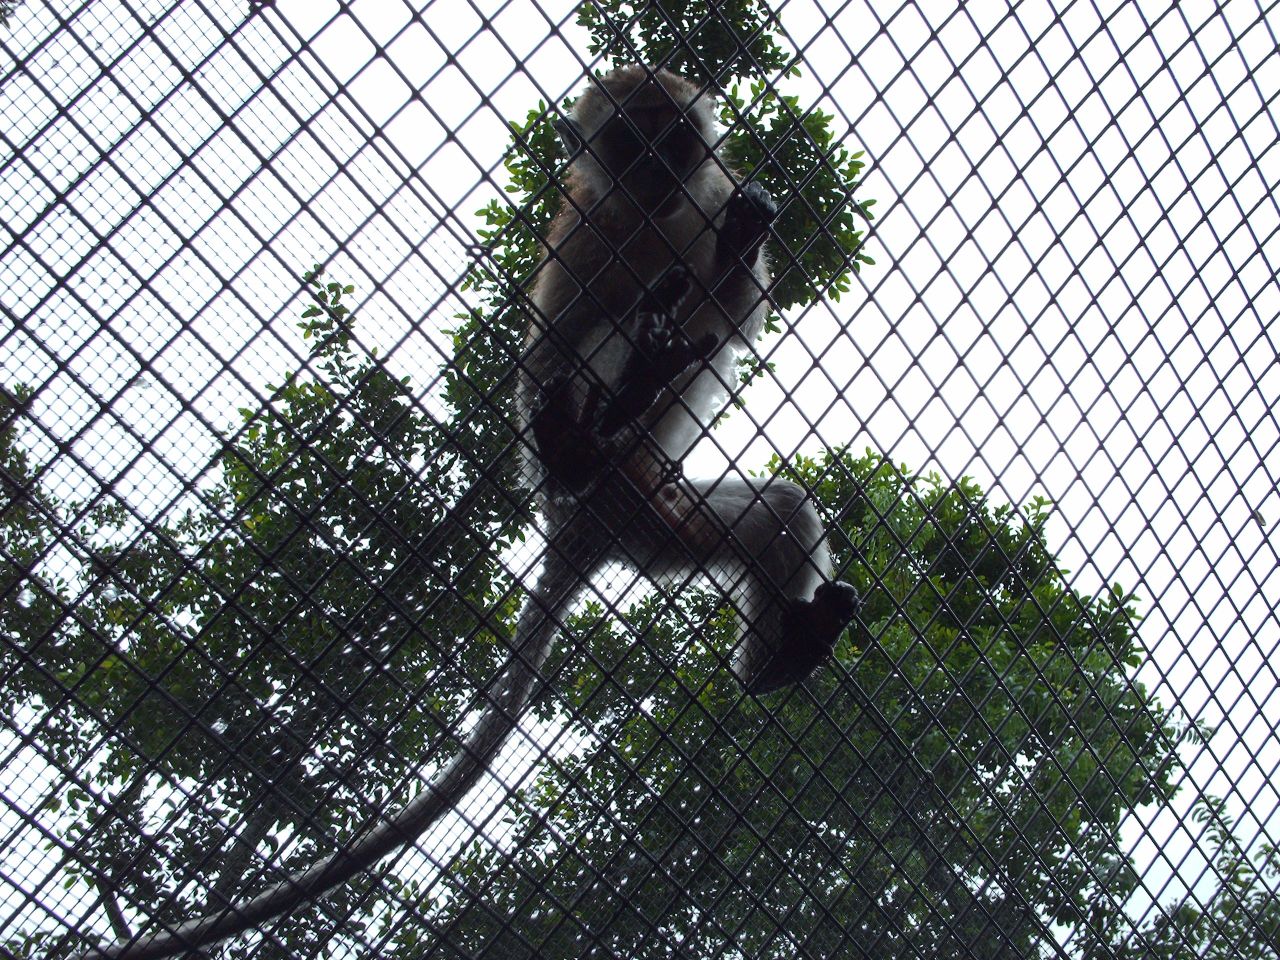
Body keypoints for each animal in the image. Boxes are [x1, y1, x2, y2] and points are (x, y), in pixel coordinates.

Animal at [80, 64, 860, 957]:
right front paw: (583, 398)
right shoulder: (582, 230)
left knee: (780, 509)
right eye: (630, 140)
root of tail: (581, 527)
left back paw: (774, 661)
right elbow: (554, 340)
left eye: (676, 140)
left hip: (661, 522)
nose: (659, 169)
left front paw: (742, 239)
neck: (651, 219)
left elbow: (734, 316)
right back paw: (591, 432)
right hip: (616, 501)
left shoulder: (703, 203)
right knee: (600, 340)